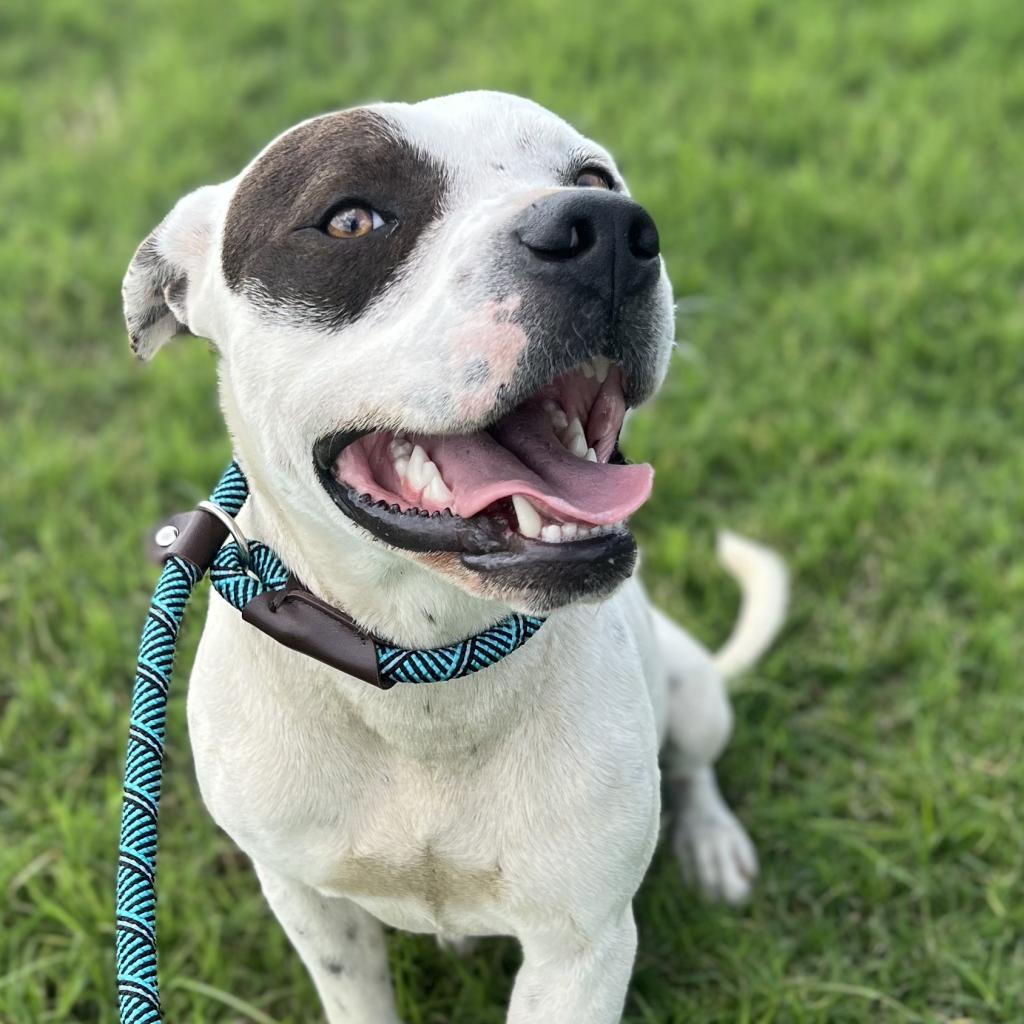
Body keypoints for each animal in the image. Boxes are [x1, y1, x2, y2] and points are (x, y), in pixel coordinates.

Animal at [123, 90, 786, 1024]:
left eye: (594, 177)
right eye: (351, 218)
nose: (609, 230)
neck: (427, 674)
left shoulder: (580, 948)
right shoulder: (310, 905)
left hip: (691, 689)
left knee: (696, 768)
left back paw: (713, 842)